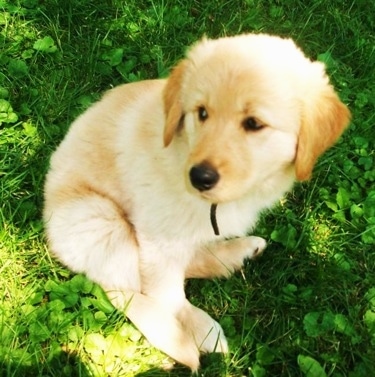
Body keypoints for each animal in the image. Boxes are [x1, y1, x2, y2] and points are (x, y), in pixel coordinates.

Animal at [43, 33, 350, 368]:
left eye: (254, 123)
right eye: (202, 113)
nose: (199, 177)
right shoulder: (156, 235)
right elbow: (165, 292)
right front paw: (188, 329)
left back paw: (234, 254)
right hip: (98, 218)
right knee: (124, 284)